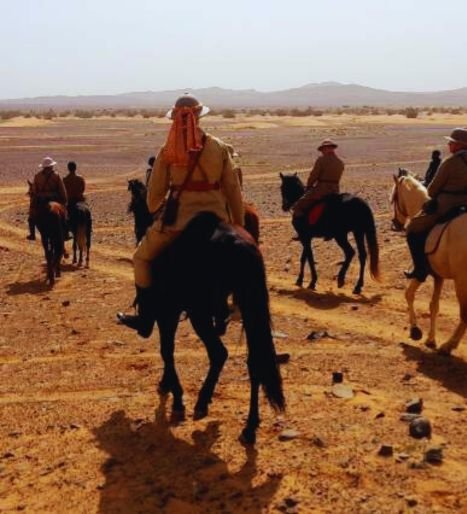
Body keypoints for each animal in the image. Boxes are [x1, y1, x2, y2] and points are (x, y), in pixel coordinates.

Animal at [143, 210, 284, 442]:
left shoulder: (167, 311)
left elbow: (166, 351)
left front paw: (177, 398)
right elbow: (167, 351)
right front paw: (167, 385)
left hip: (199, 312)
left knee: (219, 353)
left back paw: (202, 402)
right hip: (248, 305)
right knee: (254, 361)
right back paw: (250, 426)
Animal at [392, 170, 467, 354]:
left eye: (393, 197)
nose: (395, 223)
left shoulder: (421, 272)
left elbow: (408, 294)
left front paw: (415, 331)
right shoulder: (438, 276)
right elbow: (434, 305)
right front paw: (431, 339)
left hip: (462, 281)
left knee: (465, 313)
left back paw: (449, 345)